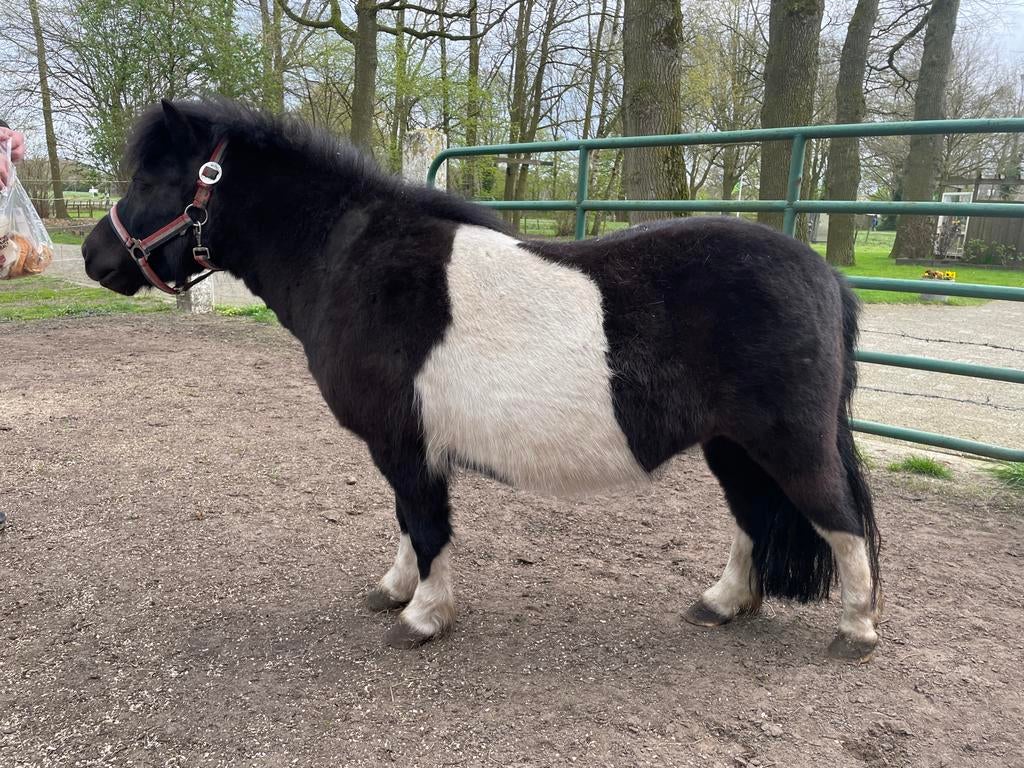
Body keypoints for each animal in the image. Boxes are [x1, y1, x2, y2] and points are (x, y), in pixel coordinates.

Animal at [82, 99, 882, 661]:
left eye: (152, 178)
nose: (95, 256)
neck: (355, 261)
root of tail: (825, 276)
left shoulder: (404, 444)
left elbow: (427, 525)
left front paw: (423, 616)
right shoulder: (406, 445)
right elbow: (407, 522)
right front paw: (395, 590)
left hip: (788, 443)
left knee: (839, 522)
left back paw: (856, 632)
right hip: (731, 445)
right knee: (753, 519)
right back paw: (721, 604)